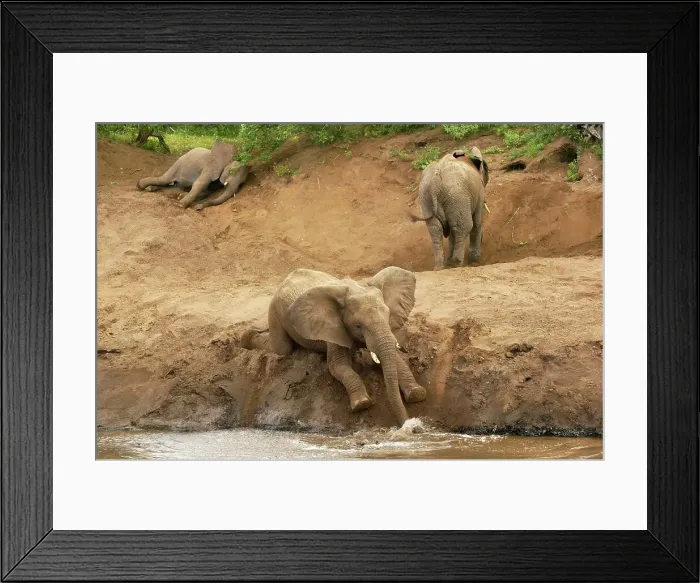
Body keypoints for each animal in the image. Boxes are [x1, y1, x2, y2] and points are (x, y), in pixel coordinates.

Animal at [240, 266, 427, 426]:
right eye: (358, 325)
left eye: (388, 316)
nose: (407, 424)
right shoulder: (331, 329)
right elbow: (337, 366)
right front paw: (362, 403)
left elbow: (394, 358)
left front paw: (416, 394)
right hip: (275, 309)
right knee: (282, 348)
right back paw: (246, 338)